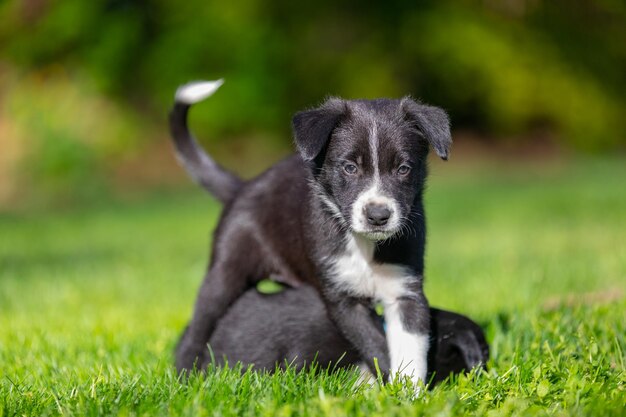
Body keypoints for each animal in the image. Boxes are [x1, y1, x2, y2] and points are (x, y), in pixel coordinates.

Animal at [168, 79, 450, 386]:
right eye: (349, 167)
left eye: (403, 169)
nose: (378, 216)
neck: (364, 245)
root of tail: (244, 187)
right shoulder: (342, 300)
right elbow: (377, 348)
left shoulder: (405, 291)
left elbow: (411, 354)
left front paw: (410, 393)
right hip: (226, 270)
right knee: (197, 330)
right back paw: (185, 379)